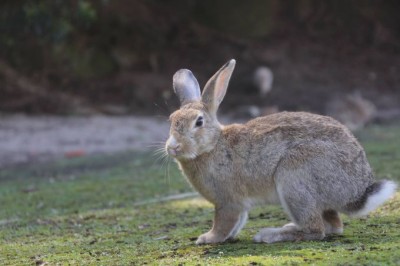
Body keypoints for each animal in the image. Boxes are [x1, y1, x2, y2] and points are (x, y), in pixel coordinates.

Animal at [165, 59, 396, 244]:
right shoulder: (237, 204)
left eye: (199, 122)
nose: (173, 147)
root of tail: (357, 189)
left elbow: (224, 222)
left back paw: (270, 235)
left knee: (316, 229)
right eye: (171, 120)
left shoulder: (227, 201)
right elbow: (237, 222)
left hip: (294, 177)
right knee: (333, 225)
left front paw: (208, 239)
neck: (212, 146)